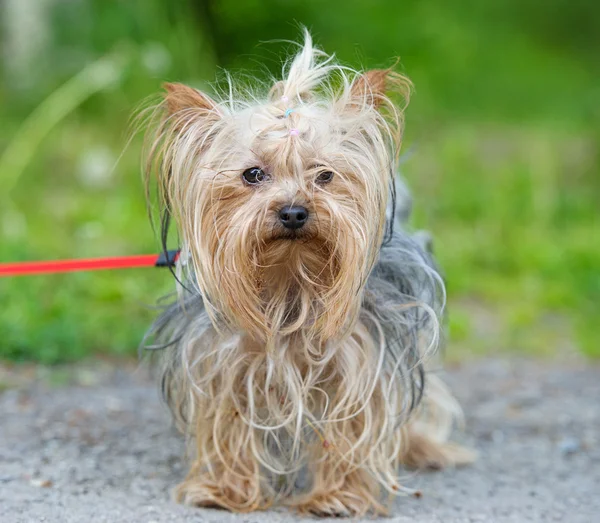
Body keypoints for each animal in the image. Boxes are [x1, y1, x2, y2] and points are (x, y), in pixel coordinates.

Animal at [142, 33, 474, 520]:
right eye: (252, 174)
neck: (290, 281)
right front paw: (225, 490)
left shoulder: (363, 356)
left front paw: (338, 497)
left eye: (325, 175)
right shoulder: (221, 359)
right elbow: (228, 418)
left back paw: (425, 447)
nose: (294, 211)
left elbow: (355, 422)